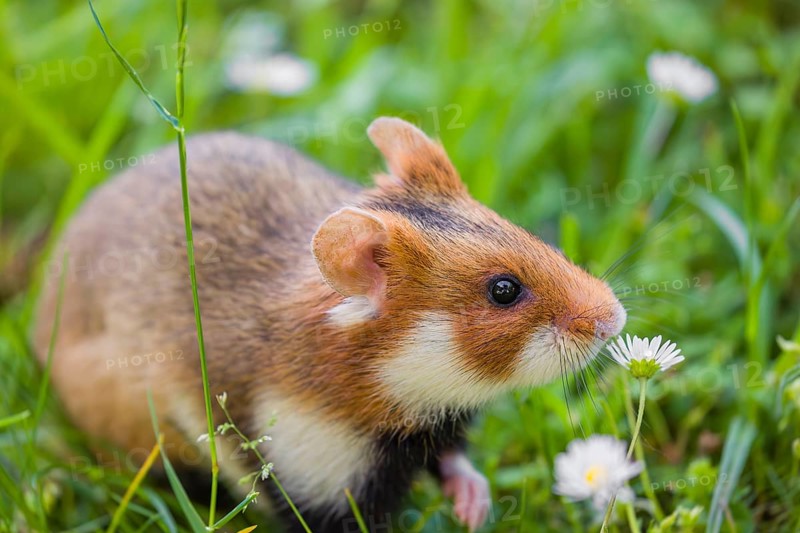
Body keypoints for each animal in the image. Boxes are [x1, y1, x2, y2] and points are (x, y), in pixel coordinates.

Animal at [34, 117, 626, 532]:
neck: (387, 380)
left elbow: (456, 463)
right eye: (503, 290)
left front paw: (474, 510)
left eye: (526, 232)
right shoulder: (306, 475)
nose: (615, 320)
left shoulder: (436, 430)